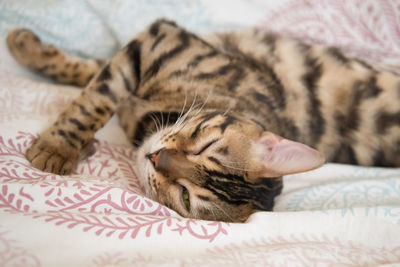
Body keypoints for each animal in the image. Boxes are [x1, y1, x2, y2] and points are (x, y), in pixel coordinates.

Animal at [6, 18, 400, 223]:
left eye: (185, 196)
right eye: (205, 145)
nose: (158, 158)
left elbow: (98, 89)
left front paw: (64, 146)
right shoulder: (162, 39)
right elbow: (96, 88)